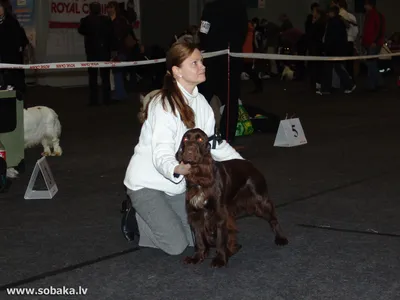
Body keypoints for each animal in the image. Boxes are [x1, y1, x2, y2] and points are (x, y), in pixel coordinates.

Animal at [176, 128, 288, 268]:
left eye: (200, 139)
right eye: (185, 139)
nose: (189, 151)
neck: (199, 179)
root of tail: (250, 164)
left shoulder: (219, 214)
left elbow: (220, 240)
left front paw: (220, 260)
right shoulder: (196, 214)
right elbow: (199, 239)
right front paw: (196, 258)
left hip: (260, 200)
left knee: (273, 218)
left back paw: (281, 238)